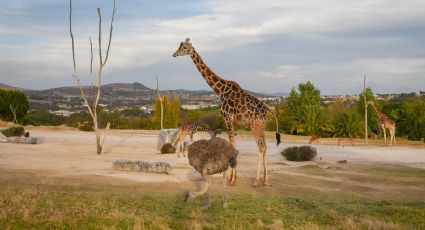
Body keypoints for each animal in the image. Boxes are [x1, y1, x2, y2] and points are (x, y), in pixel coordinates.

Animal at [171, 38, 280, 187]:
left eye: (184, 48)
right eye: (180, 46)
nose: (174, 54)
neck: (220, 91)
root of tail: (268, 109)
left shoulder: (227, 118)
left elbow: (232, 144)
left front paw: (231, 179)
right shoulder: (231, 120)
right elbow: (233, 144)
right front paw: (232, 178)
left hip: (255, 124)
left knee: (261, 146)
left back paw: (257, 180)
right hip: (262, 124)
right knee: (265, 146)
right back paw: (266, 180)